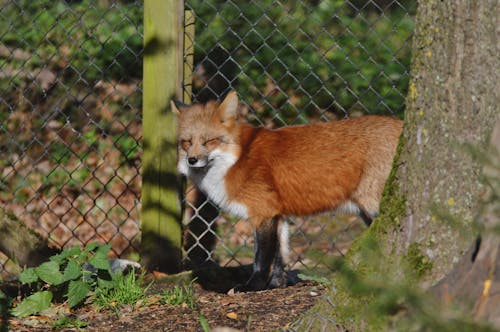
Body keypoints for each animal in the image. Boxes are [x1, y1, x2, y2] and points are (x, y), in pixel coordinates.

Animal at [172, 91, 402, 290]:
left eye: (209, 141)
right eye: (186, 142)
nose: (192, 160)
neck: (238, 158)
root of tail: (400, 124)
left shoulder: (263, 214)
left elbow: (261, 259)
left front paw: (252, 287)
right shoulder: (279, 215)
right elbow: (281, 257)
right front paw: (276, 285)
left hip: (373, 207)